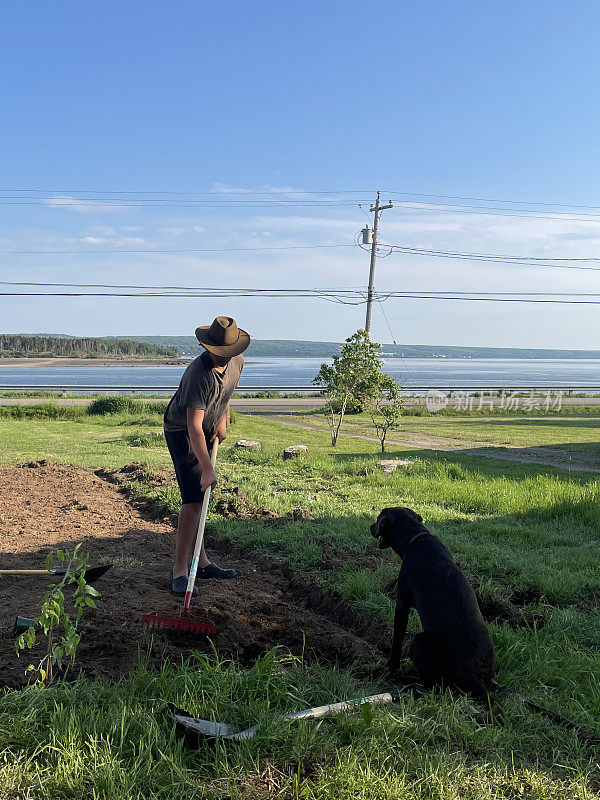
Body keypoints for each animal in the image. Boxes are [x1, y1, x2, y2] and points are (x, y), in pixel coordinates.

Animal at [370, 506, 496, 700]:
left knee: (431, 684)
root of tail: (475, 680)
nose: (370, 527)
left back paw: (409, 679)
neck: (417, 537)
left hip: (419, 640)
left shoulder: (402, 605)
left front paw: (391, 668)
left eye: (378, 519)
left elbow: (397, 640)